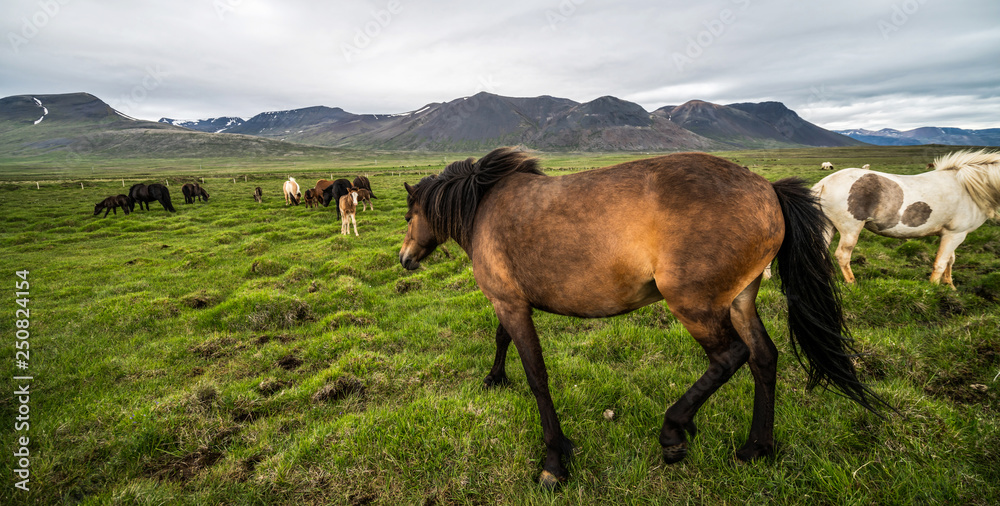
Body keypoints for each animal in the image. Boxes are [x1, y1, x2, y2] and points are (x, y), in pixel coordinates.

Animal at [398, 148, 884, 488]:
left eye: (408, 216)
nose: (404, 258)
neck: (483, 207)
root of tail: (768, 190)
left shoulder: (511, 304)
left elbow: (536, 376)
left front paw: (555, 460)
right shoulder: (510, 301)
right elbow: (502, 341)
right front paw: (495, 378)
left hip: (694, 304)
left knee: (731, 356)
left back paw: (674, 432)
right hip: (740, 299)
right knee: (763, 357)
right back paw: (755, 448)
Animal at [812, 148, 1000, 286]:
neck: (967, 187)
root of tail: (825, 182)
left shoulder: (951, 234)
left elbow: (950, 261)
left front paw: (950, 287)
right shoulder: (955, 234)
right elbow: (941, 263)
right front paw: (934, 289)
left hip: (828, 227)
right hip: (850, 230)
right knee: (843, 255)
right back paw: (853, 283)